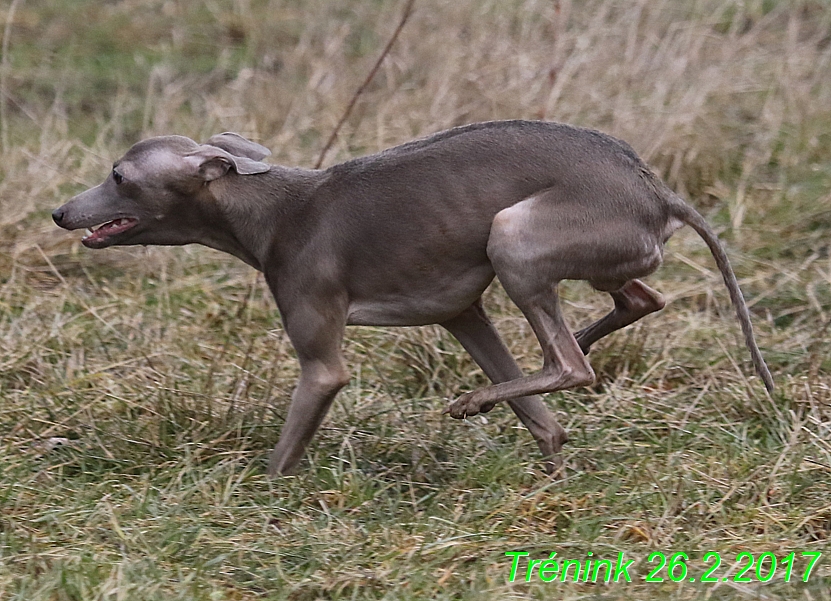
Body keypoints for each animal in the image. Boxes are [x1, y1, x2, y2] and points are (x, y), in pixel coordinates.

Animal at [52, 120, 772, 474]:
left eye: (119, 175)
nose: (59, 212)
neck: (270, 208)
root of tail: (656, 189)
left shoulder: (322, 360)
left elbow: (287, 446)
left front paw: (250, 497)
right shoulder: (463, 315)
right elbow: (548, 426)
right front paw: (551, 462)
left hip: (513, 236)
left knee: (570, 362)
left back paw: (479, 397)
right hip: (571, 257)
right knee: (632, 304)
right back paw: (527, 378)